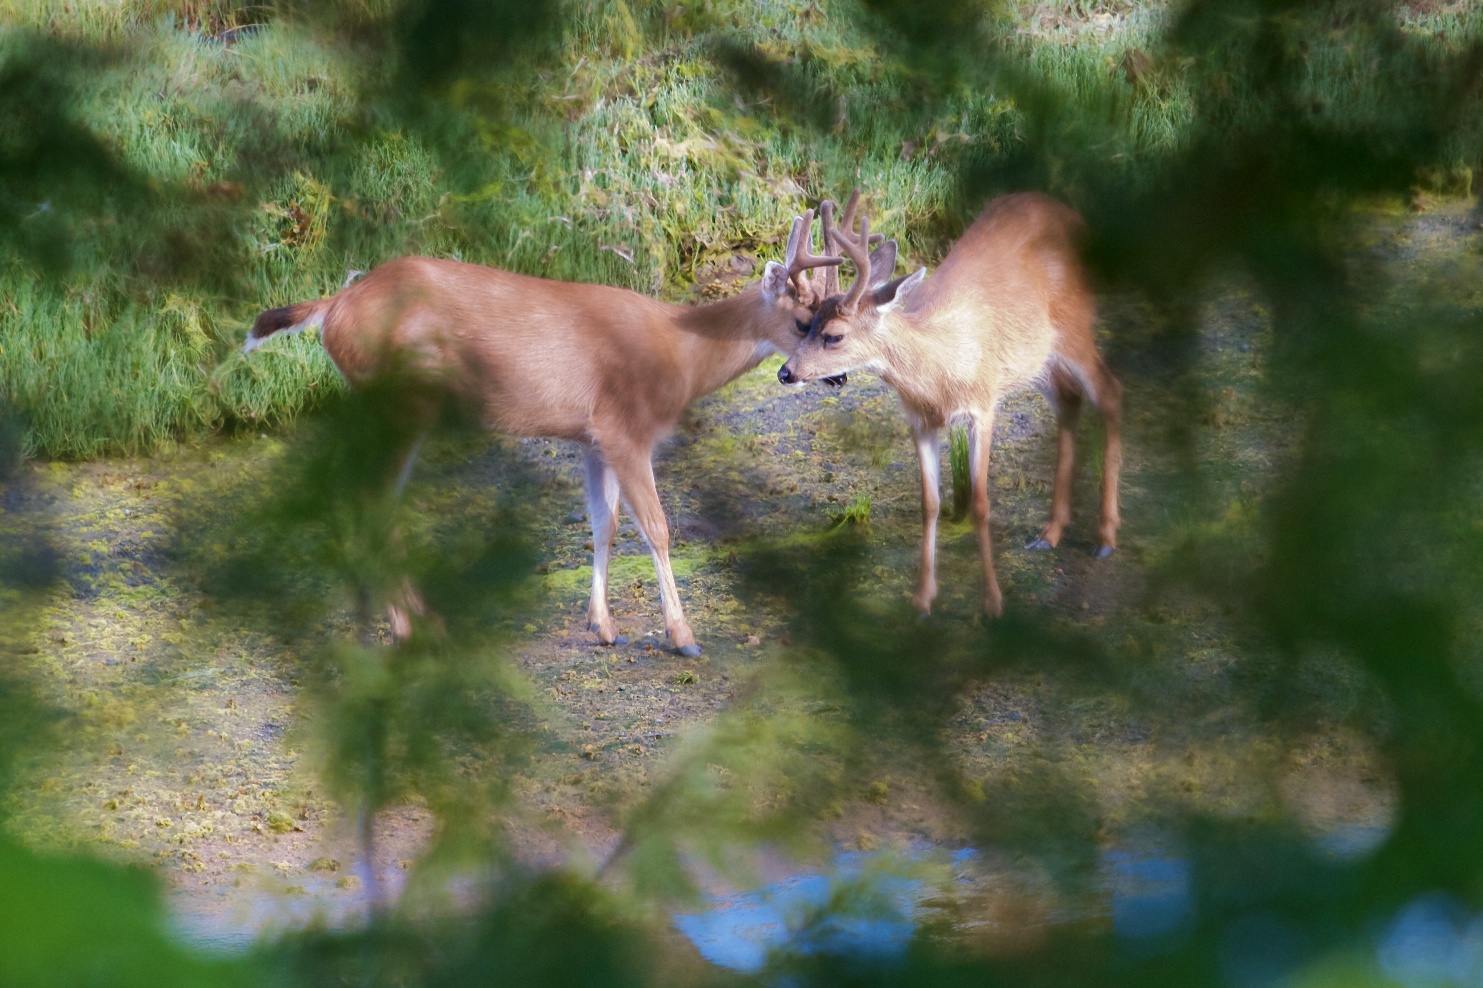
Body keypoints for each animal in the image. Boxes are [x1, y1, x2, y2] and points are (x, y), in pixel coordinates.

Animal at [247, 195, 895, 649]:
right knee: (371, 501)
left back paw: (416, 620)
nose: (830, 379)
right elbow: (657, 528)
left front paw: (604, 626)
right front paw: (683, 637)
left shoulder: (591, 437)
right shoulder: (626, 428)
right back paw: (409, 629)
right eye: (807, 321)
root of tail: (332, 308)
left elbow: (603, 525)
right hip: (402, 402)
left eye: (832, 319)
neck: (680, 352)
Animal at [783, 192, 1115, 617]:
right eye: (805, 325)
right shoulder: (919, 421)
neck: (939, 372)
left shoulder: (983, 407)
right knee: (1069, 401)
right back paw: (1049, 533)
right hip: (1037, 359)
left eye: (834, 335)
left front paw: (993, 601)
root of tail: (1072, 214)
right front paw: (923, 599)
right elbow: (930, 503)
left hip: (1075, 327)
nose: (786, 372)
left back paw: (1105, 537)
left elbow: (980, 503)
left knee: (1111, 394)